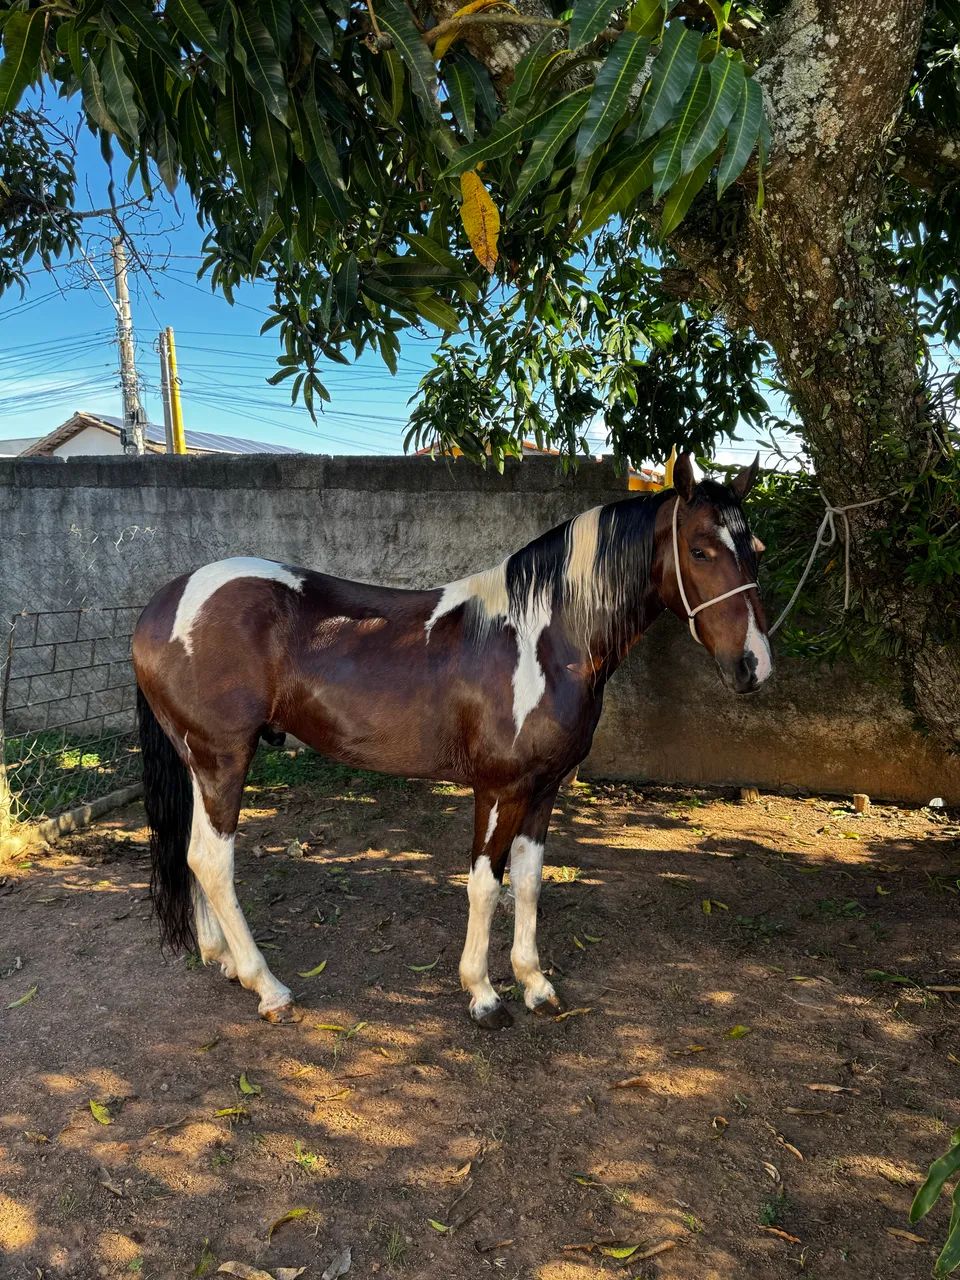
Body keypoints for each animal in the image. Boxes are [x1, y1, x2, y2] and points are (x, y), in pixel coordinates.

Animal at [132, 453, 771, 1028]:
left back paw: (222, 959)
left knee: (192, 853)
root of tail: (164, 602)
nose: (755, 666)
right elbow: (485, 886)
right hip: (223, 759)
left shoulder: (542, 790)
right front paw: (484, 996)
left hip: (200, 763)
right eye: (700, 549)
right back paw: (267, 986)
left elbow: (530, 882)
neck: (543, 642)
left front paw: (535, 984)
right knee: (213, 859)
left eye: (755, 550)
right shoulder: (498, 790)